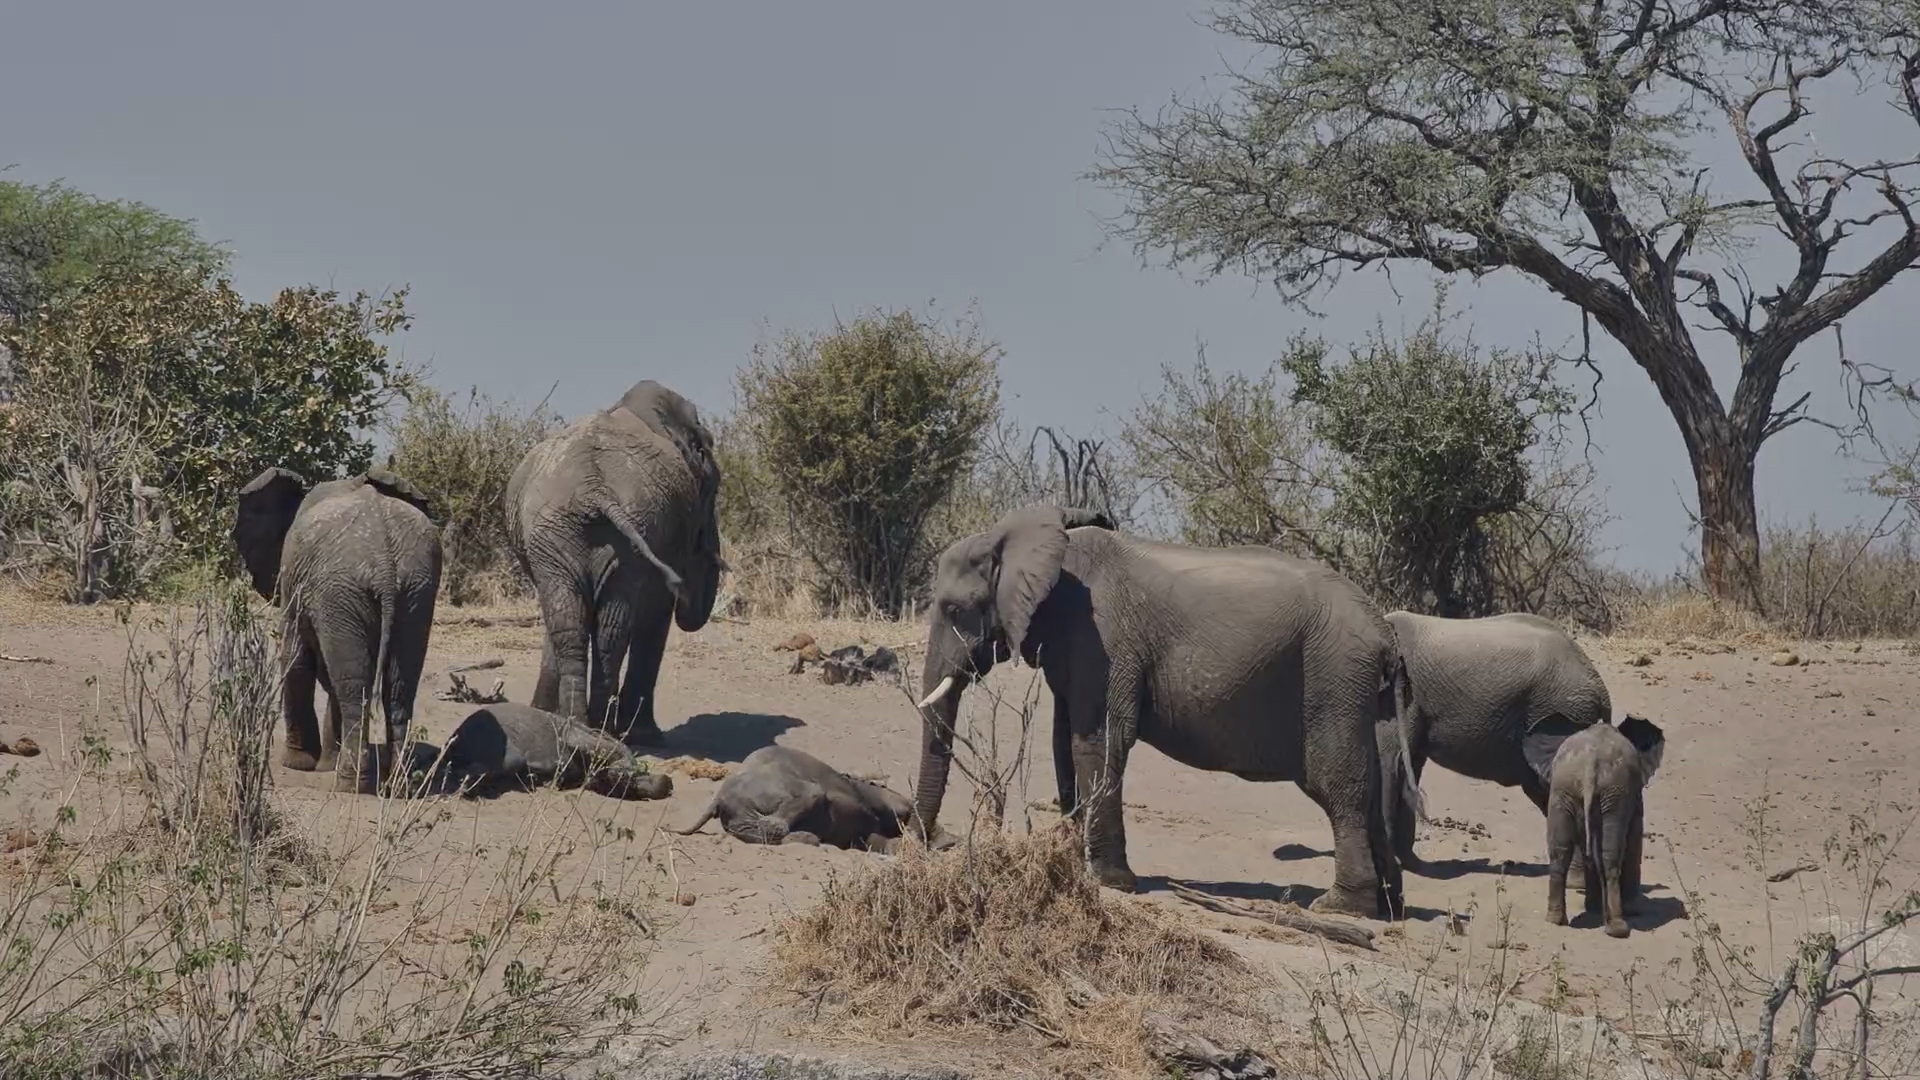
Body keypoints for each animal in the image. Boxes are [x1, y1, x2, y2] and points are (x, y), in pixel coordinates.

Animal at [234, 466, 442, 793]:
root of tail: (384, 562)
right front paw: (323, 764)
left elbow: (294, 660)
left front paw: (298, 764)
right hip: (416, 590)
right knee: (398, 686)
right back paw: (400, 785)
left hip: (344, 589)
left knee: (354, 686)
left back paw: (350, 783)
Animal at [506, 379, 722, 745]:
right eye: (716, 489)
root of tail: (593, 488)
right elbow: (656, 614)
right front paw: (648, 737)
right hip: (600, 532)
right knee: (608, 627)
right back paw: (599, 728)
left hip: (571, 534)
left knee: (573, 621)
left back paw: (582, 726)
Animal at [914, 504, 1418, 920]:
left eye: (954, 609)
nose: (937, 842)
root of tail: (1384, 633)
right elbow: (1064, 740)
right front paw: (1070, 865)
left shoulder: (1101, 635)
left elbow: (1099, 739)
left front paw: (1110, 882)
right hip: (1359, 691)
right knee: (1372, 786)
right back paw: (1390, 907)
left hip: (1333, 678)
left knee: (1338, 786)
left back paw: (1340, 908)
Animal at [1537, 714, 1666, 938]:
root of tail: (1590, 764)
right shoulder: (1633, 794)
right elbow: (1633, 840)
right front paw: (1634, 910)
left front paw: (1594, 907)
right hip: (1613, 793)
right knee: (1610, 854)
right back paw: (1618, 928)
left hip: (1564, 789)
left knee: (1559, 850)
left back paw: (1555, 920)